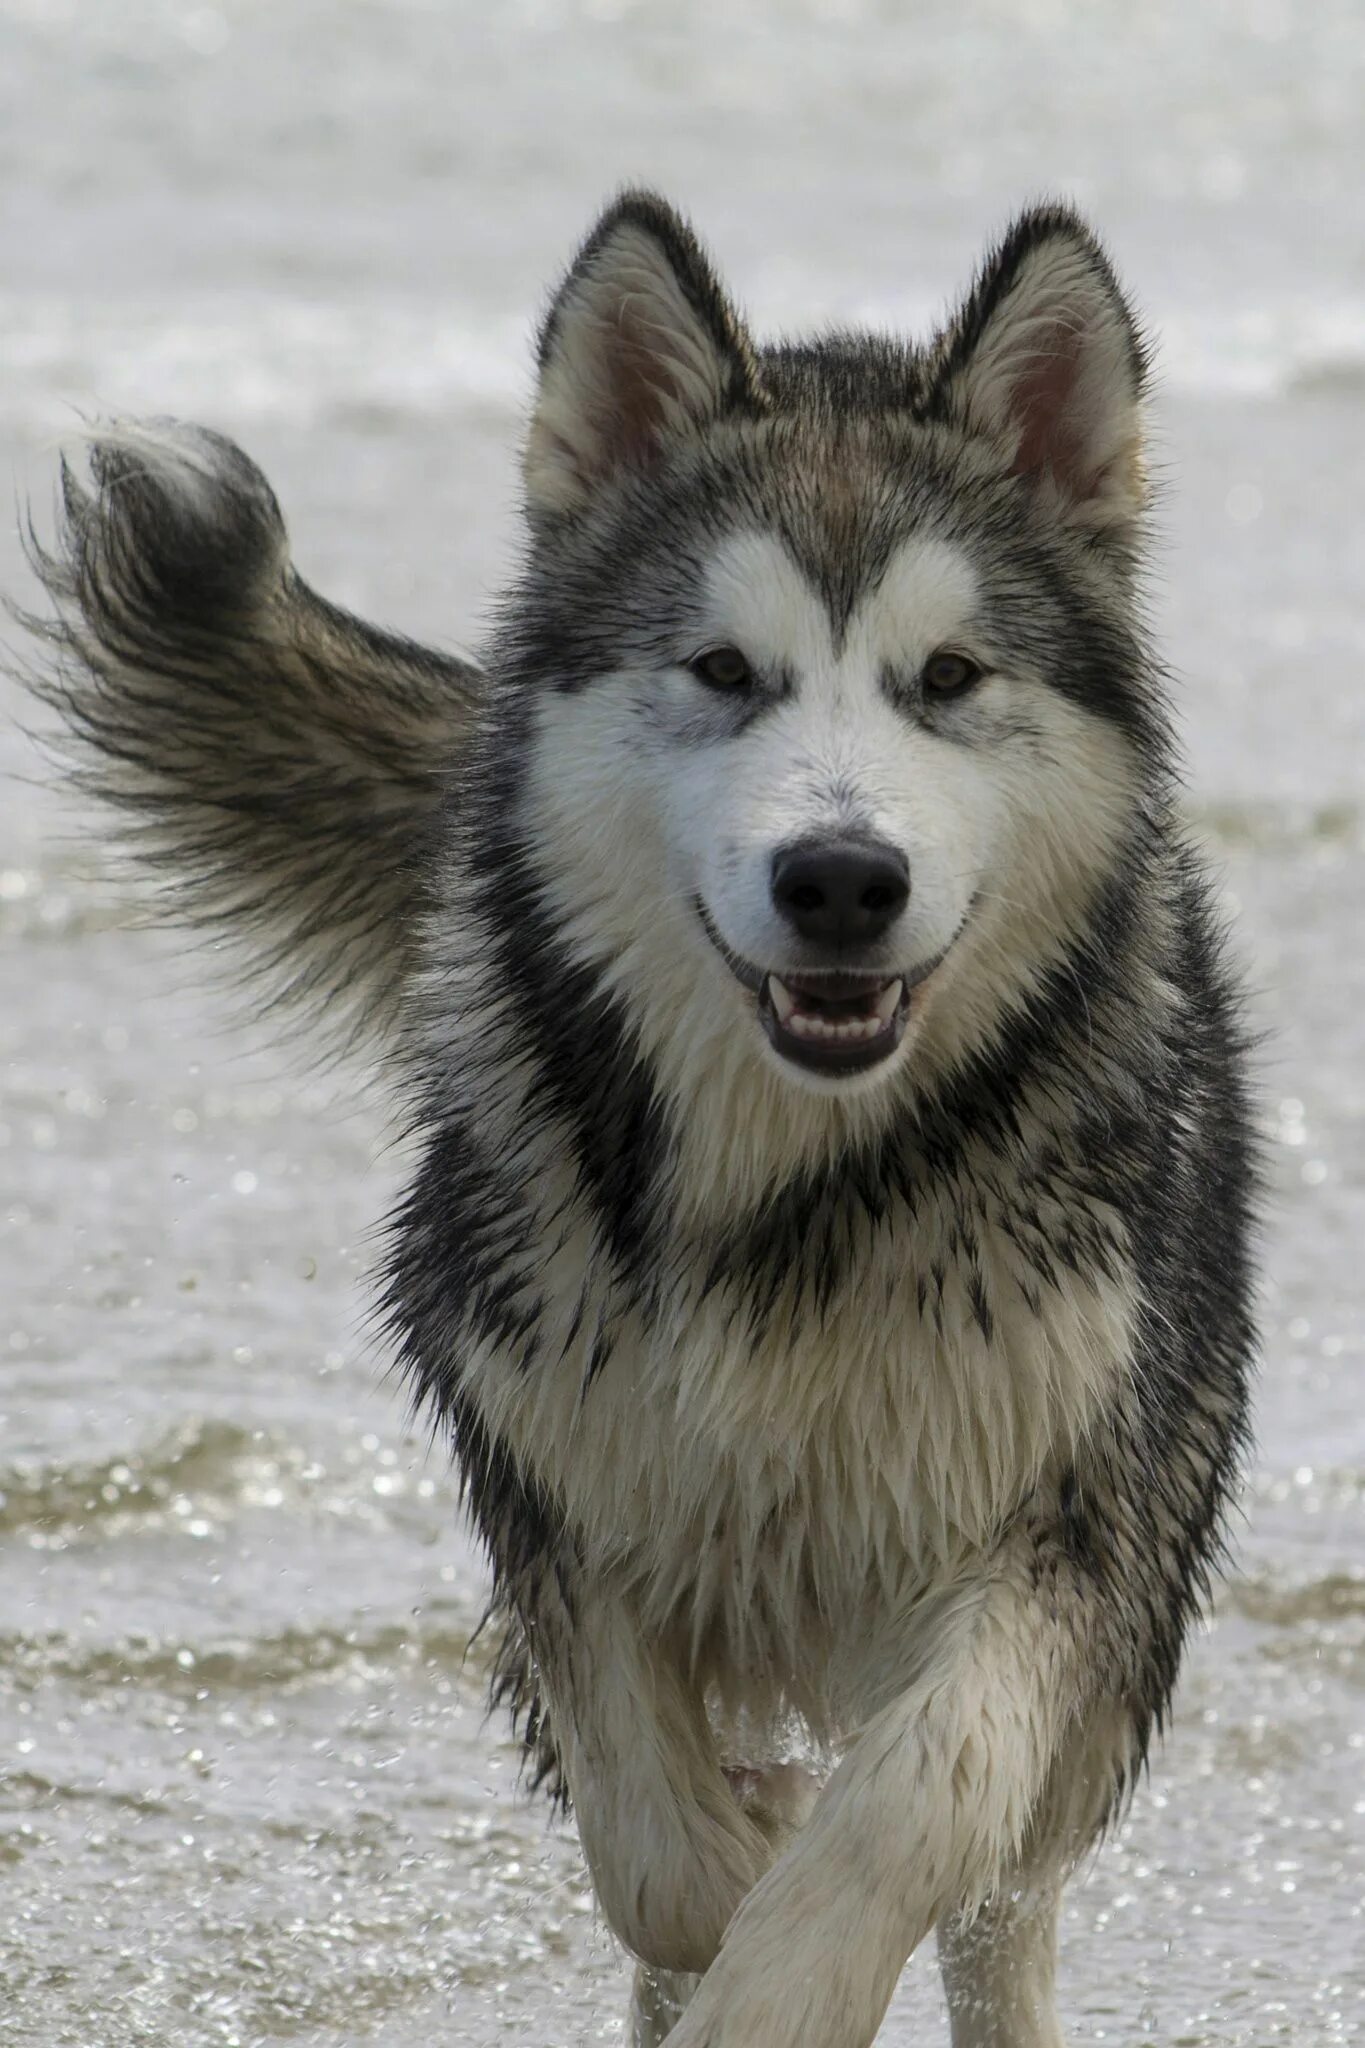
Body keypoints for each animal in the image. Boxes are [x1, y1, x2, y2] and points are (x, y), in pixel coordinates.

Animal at [21, 195, 1260, 2048]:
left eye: (949, 675)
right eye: (724, 670)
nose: (840, 879)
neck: (793, 1188)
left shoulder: (1067, 1508)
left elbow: (919, 1798)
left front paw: (788, 1973)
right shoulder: (550, 1452)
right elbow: (657, 1852)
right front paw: (734, 1868)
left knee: (1008, 1905)